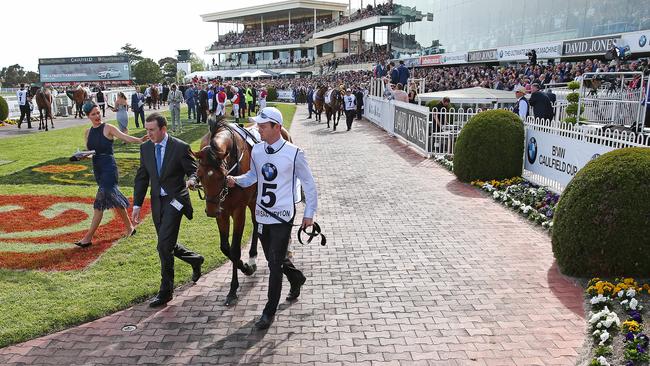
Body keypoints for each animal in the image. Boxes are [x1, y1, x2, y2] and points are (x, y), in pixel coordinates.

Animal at [194, 113, 292, 306]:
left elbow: (234, 249)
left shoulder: (238, 210)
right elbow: (225, 248)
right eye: (199, 175)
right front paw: (245, 267)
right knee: (256, 223)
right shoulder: (223, 211)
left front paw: (234, 286)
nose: (210, 210)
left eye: (223, 175)